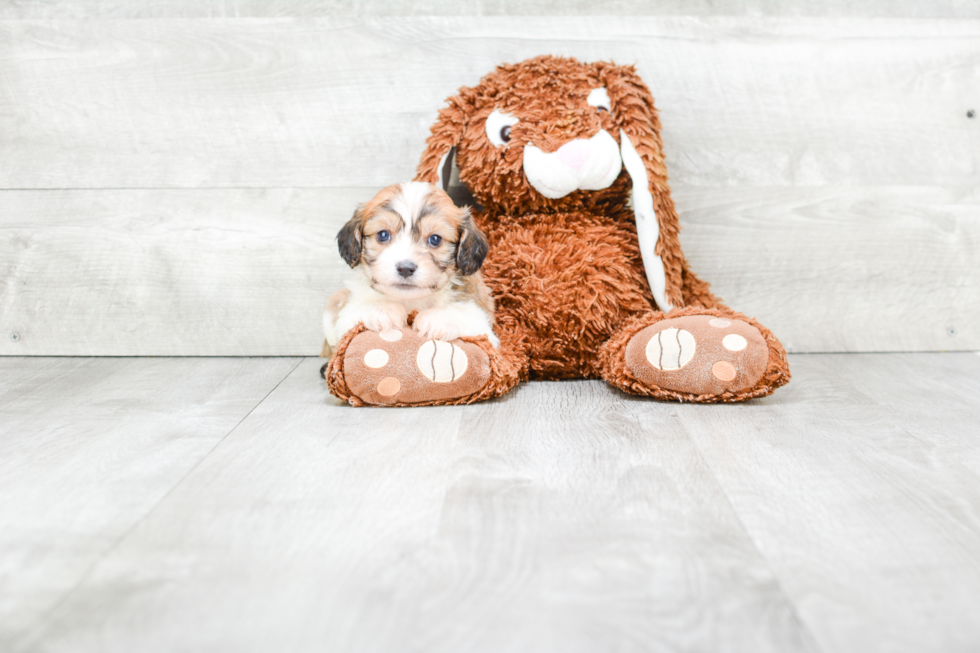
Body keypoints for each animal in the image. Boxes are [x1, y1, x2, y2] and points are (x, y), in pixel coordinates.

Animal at [322, 181, 498, 360]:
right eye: (383, 235)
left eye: (435, 239)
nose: (405, 268)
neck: (410, 300)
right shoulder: (347, 312)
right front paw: (379, 309)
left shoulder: (484, 327)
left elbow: (469, 318)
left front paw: (440, 318)